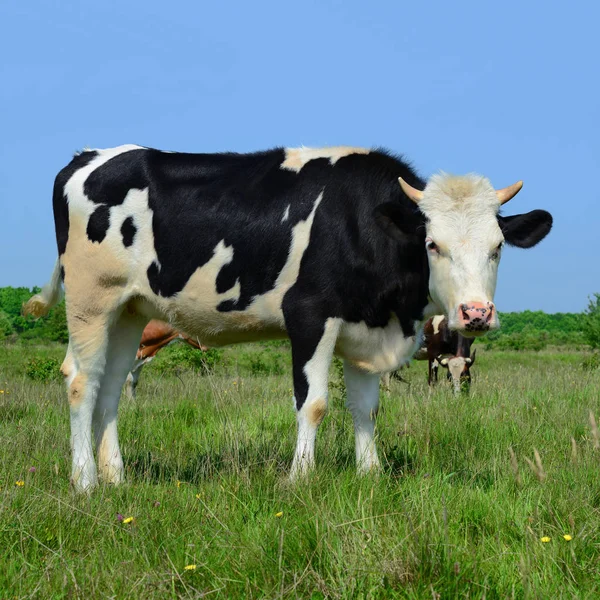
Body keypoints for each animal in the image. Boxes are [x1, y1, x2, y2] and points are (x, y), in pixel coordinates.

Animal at [24, 145, 552, 492]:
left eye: (498, 246)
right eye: (432, 244)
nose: (475, 313)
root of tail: (90, 155)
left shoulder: (366, 331)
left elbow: (366, 408)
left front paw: (370, 474)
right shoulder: (310, 316)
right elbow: (313, 403)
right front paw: (299, 479)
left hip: (131, 309)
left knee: (112, 385)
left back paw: (116, 476)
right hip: (91, 299)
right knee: (81, 379)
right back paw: (85, 482)